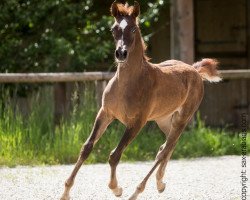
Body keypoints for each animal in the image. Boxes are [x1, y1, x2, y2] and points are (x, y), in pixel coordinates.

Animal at [60, 1, 221, 200]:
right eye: (113, 29)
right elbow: (87, 147)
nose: (121, 53)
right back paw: (160, 183)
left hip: (183, 118)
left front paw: (116, 188)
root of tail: (195, 71)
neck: (127, 85)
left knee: (164, 150)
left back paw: (137, 191)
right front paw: (65, 191)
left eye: (133, 29)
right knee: (167, 146)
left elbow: (115, 155)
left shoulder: (137, 122)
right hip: (163, 119)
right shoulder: (105, 113)